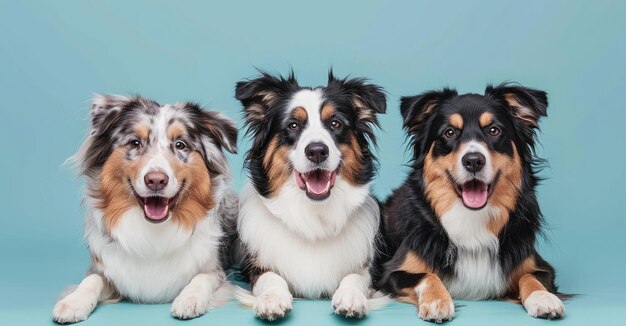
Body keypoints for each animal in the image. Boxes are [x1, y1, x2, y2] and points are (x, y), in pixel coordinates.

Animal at [53, 95, 239, 324]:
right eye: (135, 143)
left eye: (180, 145)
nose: (156, 180)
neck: (154, 232)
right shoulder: (103, 270)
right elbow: (92, 280)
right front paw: (73, 302)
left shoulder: (216, 271)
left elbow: (202, 278)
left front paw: (189, 299)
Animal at [235, 71, 386, 318]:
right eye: (293, 125)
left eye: (335, 123)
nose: (316, 151)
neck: (314, 217)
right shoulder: (255, 266)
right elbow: (271, 277)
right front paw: (272, 298)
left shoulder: (369, 269)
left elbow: (355, 276)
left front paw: (351, 297)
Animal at [372, 84, 568, 324]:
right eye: (449, 132)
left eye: (494, 130)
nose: (474, 160)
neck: (471, 218)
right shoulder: (391, 272)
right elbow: (427, 275)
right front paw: (437, 301)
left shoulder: (540, 266)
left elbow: (530, 276)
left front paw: (543, 298)